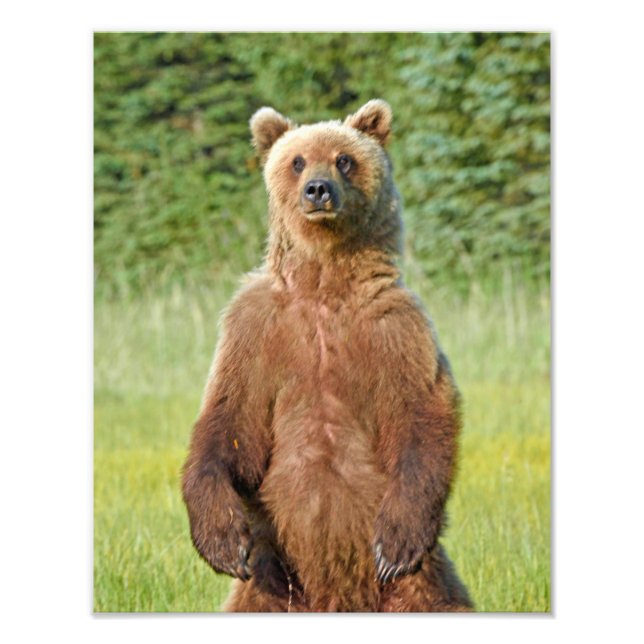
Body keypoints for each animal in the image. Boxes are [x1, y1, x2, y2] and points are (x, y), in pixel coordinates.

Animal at [181, 99, 473, 612]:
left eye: (344, 159)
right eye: (297, 161)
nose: (318, 189)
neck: (323, 283)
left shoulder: (396, 330)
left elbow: (421, 416)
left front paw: (396, 544)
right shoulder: (257, 330)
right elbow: (230, 419)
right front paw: (222, 539)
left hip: (415, 584)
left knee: (435, 597)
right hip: (271, 579)